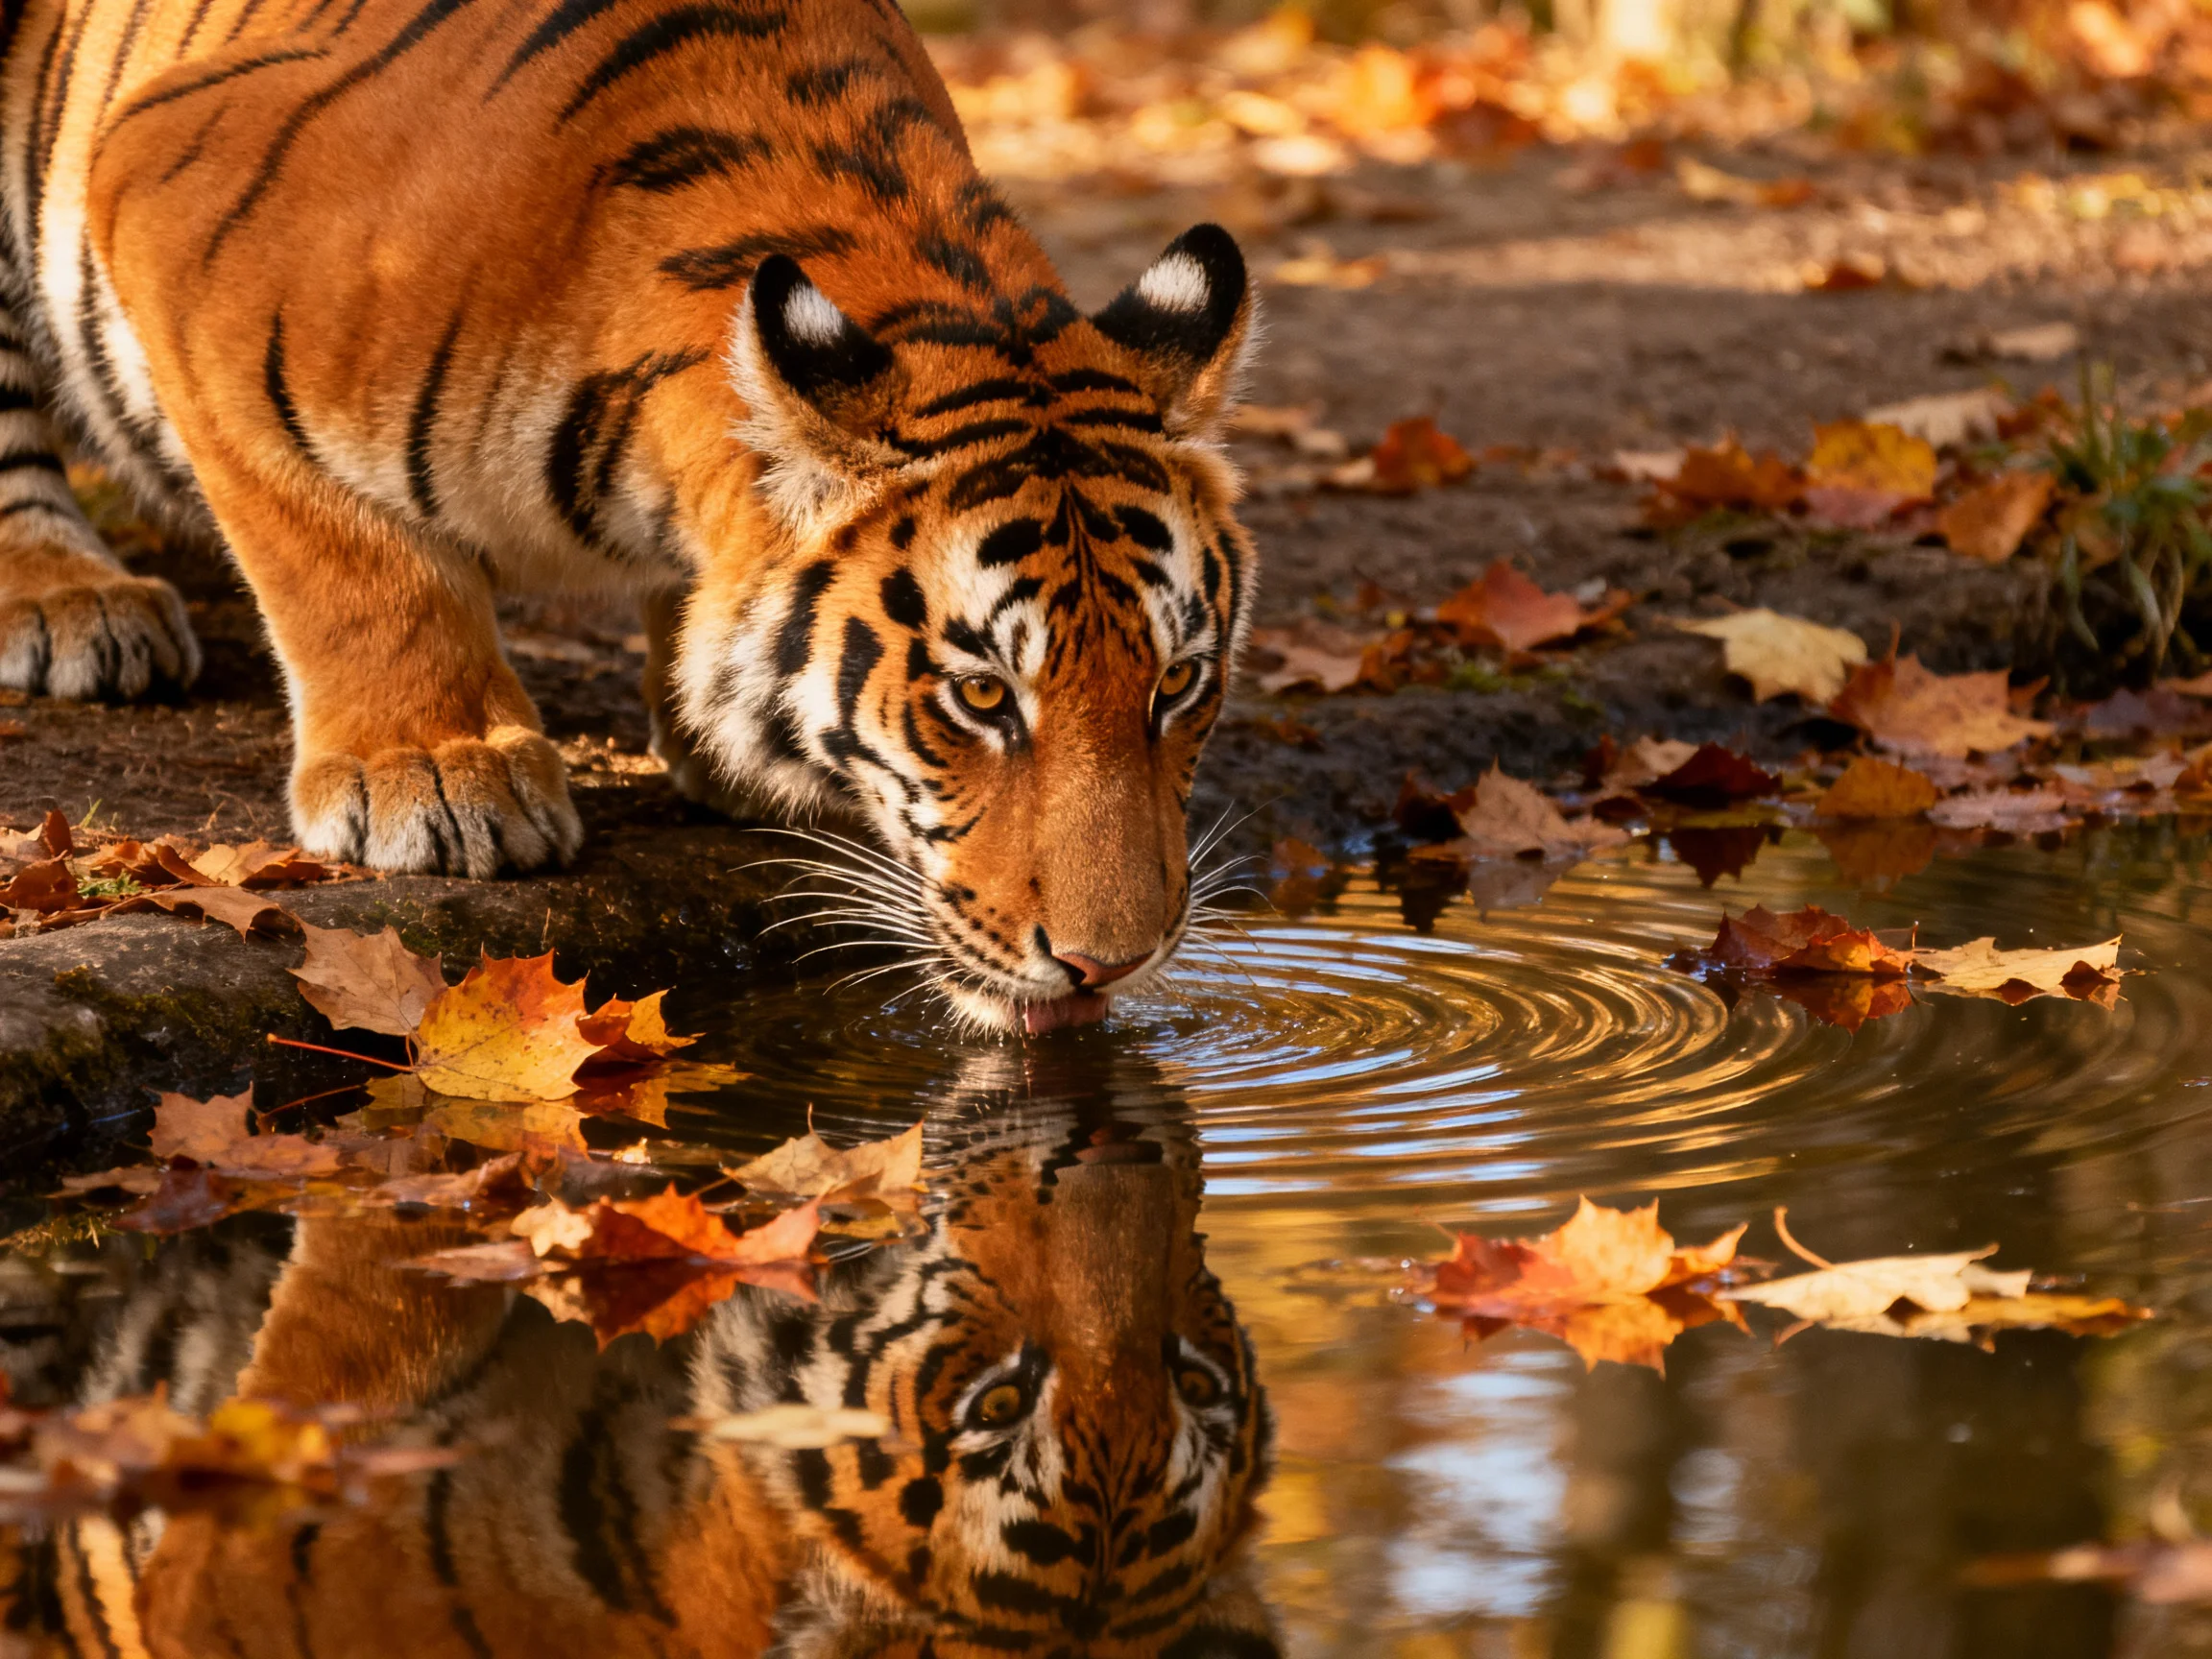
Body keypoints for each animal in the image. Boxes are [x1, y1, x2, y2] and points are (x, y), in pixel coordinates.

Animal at [0, 0, 1261, 1032]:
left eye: (1177, 682)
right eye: (984, 697)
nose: (1111, 965)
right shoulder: (169, 212)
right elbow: (345, 559)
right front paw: (437, 768)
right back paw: (70, 601)